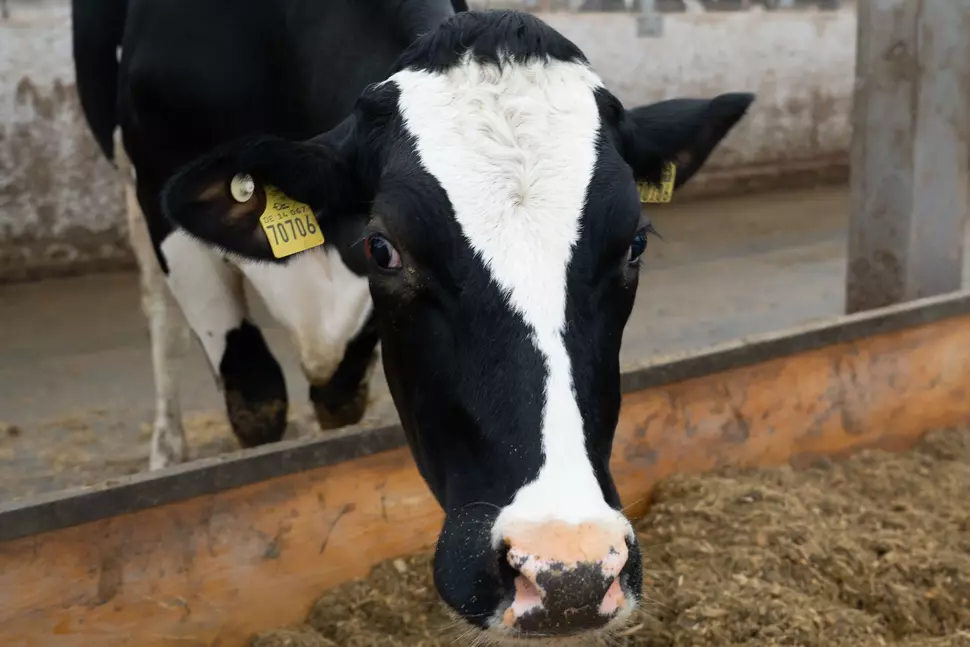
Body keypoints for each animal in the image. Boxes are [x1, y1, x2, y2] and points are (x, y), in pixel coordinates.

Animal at [78, 1, 755, 641]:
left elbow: (338, 398)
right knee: (156, 307)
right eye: (383, 249)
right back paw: (167, 444)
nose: (570, 575)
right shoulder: (168, 213)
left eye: (635, 243)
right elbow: (256, 400)